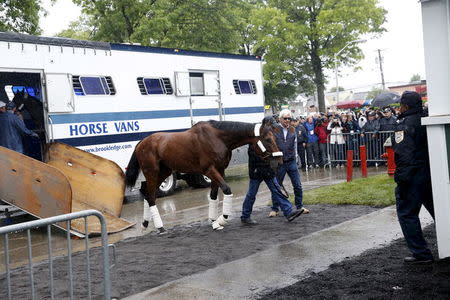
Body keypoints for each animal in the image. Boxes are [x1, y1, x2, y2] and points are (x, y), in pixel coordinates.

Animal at [124, 118, 282, 234]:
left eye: (274, 137)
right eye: (268, 139)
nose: (279, 159)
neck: (217, 138)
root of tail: (141, 143)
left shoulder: (219, 170)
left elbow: (213, 195)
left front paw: (214, 222)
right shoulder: (209, 170)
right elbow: (226, 190)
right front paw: (222, 219)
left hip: (164, 172)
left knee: (147, 194)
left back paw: (146, 224)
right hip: (152, 173)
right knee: (150, 196)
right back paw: (160, 227)